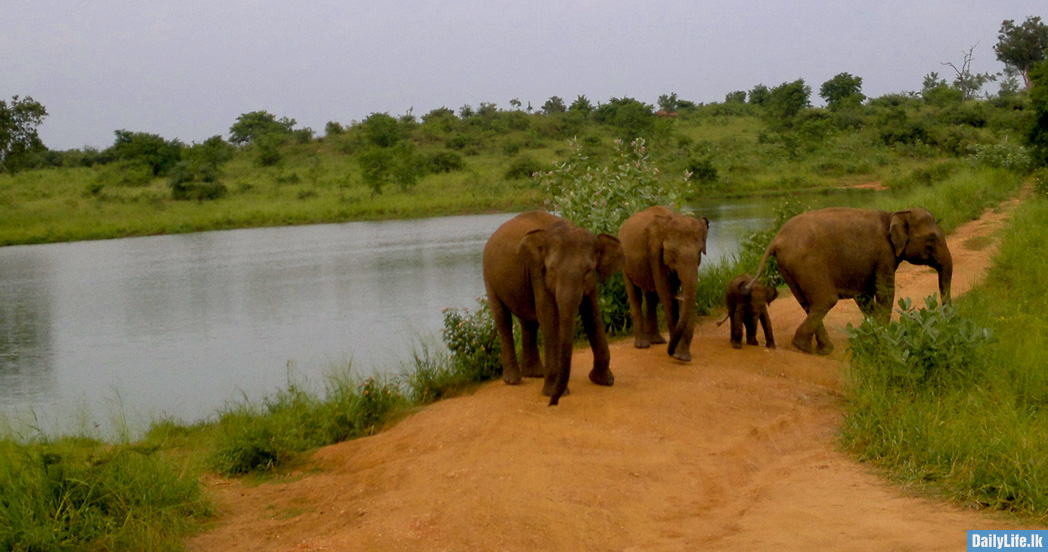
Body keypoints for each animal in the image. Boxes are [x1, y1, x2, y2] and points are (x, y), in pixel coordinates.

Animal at [482, 211, 625, 406]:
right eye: (552, 268)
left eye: (588, 270)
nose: (552, 403)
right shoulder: (538, 270)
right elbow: (549, 315)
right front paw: (554, 392)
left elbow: (592, 312)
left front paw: (604, 381)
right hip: (488, 275)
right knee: (503, 318)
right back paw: (514, 380)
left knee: (529, 323)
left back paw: (535, 374)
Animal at [617, 206, 710, 362]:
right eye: (673, 253)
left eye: (699, 252)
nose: (670, 352)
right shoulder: (655, 252)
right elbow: (665, 293)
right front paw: (677, 354)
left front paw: (682, 356)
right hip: (624, 263)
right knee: (635, 295)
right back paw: (642, 345)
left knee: (651, 297)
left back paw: (657, 341)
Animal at [751, 207, 952, 355]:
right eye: (931, 239)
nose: (946, 321)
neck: (895, 214)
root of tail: (776, 239)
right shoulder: (885, 254)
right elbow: (885, 292)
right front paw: (882, 335)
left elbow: (864, 298)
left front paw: (871, 333)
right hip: (806, 263)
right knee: (826, 300)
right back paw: (805, 346)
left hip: (789, 268)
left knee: (808, 303)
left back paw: (820, 349)